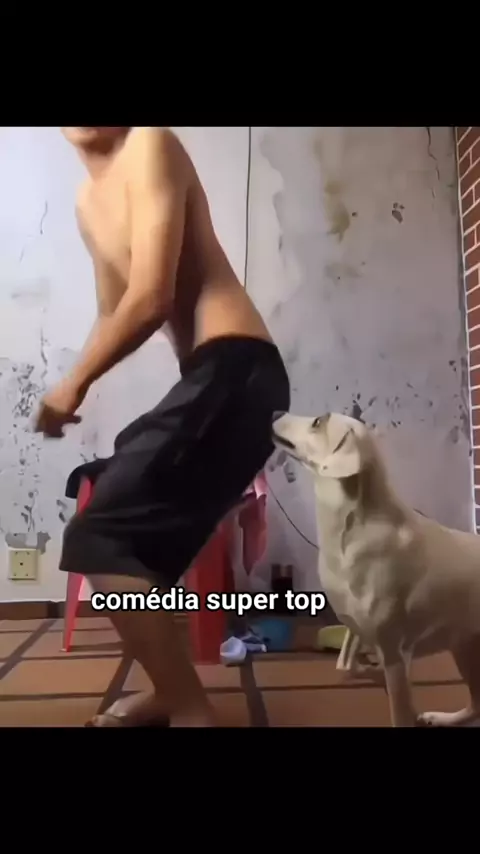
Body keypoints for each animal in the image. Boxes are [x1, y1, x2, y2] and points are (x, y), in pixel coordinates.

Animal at [272, 410, 480, 727]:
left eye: (318, 422)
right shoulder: (359, 631)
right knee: (477, 703)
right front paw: (366, 671)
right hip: (463, 646)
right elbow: (348, 666)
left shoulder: (395, 651)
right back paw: (439, 718)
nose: (274, 412)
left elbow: (400, 709)